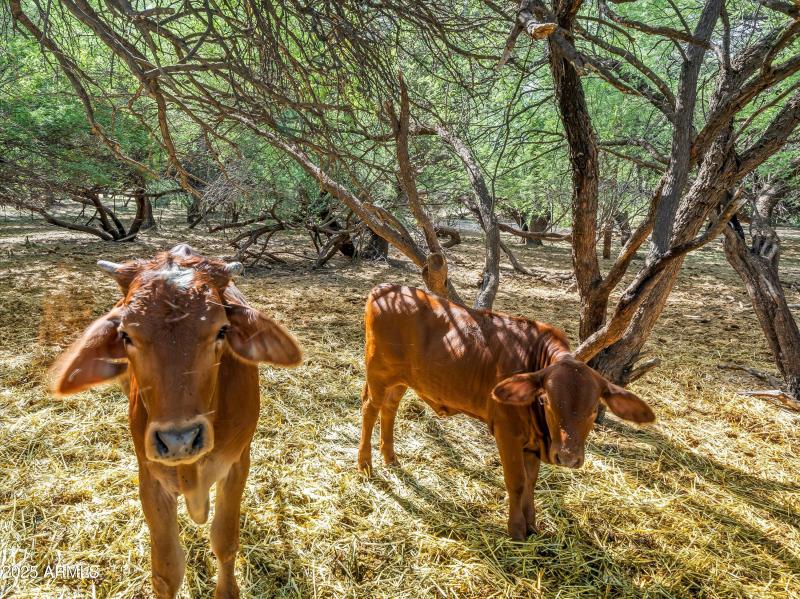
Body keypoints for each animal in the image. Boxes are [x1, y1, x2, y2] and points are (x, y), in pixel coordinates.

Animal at [50, 244, 302, 598]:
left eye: (222, 330)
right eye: (126, 335)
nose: (179, 440)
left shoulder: (237, 463)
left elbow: (224, 541)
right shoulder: (150, 476)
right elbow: (167, 570)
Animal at [357, 284, 654, 540]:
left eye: (594, 410)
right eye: (546, 400)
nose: (568, 457)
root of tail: (385, 288)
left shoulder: (531, 444)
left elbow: (531, 483)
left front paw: (532, 524)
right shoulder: (507, 433)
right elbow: (517, 481)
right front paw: (517, 530)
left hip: (400, 380)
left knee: (390, 410)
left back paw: (390, 458)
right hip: (378, 375)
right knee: (370, 410)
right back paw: (365, 464)